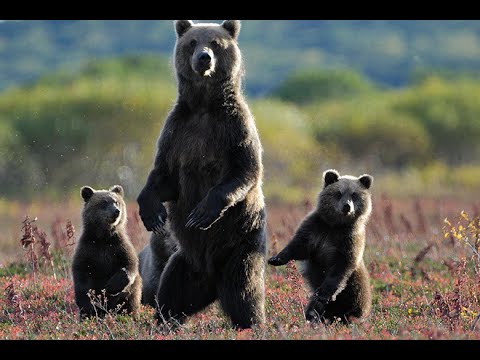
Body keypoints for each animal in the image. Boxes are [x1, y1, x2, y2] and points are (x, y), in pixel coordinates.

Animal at [72, 186, 142, 318]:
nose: (116, 211)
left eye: (116, 202)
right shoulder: (88, 249)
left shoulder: (119, 247)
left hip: (130, 296)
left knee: (130, 304)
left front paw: (112, 286)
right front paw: (88, 304)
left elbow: (130, 265)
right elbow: (81, 274)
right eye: (103, 202)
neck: (104, 237)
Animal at [137, 19, 268, 330]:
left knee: (244, 292)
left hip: (240, 247)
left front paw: (202, 213)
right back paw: (163, 322)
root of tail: (212, 283)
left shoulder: (233, 127)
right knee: (172, 293)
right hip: (186, 263)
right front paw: (152, 213)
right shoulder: (177, 131)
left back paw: (253, 324)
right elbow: (164, 176)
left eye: (216, 43)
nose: (204, 58)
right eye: (192, 42)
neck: (204, 105)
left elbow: (244, 171)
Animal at [268, 169, 374, 324]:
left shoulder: (349, 240)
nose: (346, 206)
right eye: (339, 193)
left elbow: (340, 268)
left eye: (354, 195)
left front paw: (324, 294)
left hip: (357, 291)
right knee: (314, 307)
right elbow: (299, 246)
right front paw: (276, 259)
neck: (335, 225)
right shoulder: (316, 228)